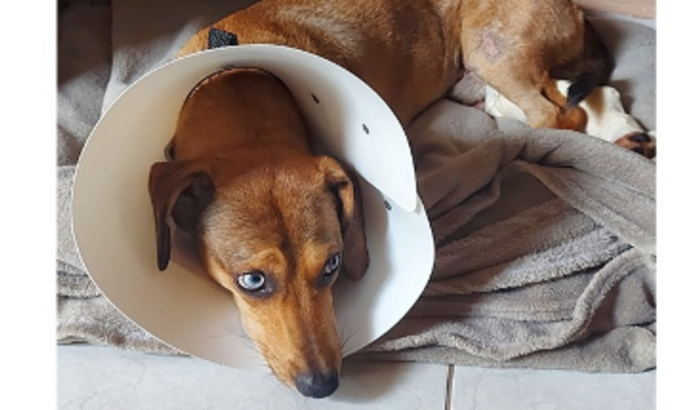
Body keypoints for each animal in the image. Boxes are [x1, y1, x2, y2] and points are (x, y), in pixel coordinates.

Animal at [149, 0, 612, 398]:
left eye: (332, 265)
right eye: (252, 281)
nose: (323, 385)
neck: (235, 79)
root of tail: (577, 10)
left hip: (493, 50)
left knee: (561, 114)